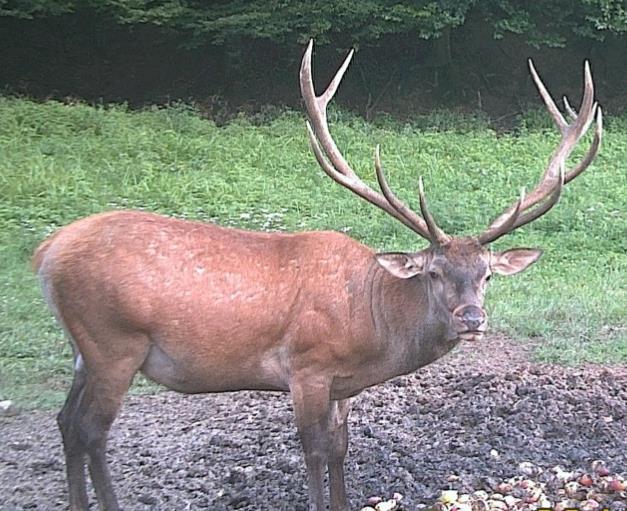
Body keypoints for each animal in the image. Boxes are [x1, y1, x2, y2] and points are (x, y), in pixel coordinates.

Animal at [34, 41, 604, 511]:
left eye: (487, 274)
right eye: (435, 273)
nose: (472, 319)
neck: (372, 326)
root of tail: (45, 253)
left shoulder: (342, 384)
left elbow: (339, 448)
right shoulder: (306, 367)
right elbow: (311, 450)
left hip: (85, 348)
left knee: (66, 422)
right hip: (114, 341)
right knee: (92, 430)